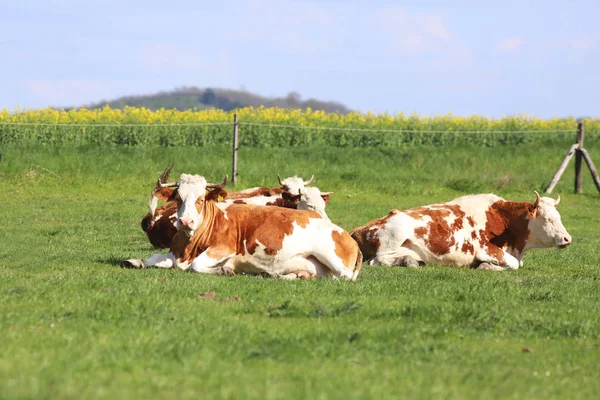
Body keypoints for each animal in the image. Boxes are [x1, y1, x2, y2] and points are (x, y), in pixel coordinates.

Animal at [120, 173, 360, 280]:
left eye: (201, 199)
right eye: (178, 198)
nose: (186, 221)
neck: (188, 245)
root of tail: (346, 234)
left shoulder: (223, 249)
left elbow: (196, 265)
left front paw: (225, 269)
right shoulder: (174, 252)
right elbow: (153, 259)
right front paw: (134, 261)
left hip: (330, 255)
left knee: (343, 276)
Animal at [352, 192, 572, 270]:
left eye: (560, 217)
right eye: (549, 219)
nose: (567, 238)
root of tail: (357, 230)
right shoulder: (485, 248)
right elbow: (513, 264)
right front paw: (487, 266)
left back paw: (412, 261)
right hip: (396, 233)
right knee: (378, 260)